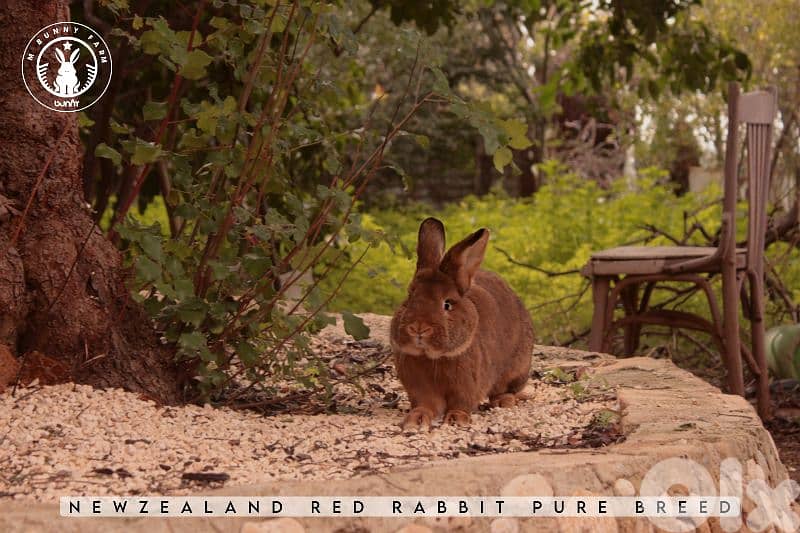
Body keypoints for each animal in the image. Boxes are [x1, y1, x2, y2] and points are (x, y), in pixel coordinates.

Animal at [390, 217, 534, 431]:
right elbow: (425, 405)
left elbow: (461, 403)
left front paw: (456, 419)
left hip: (517, 367)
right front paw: (416, 419)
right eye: (409, 297)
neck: (433, 357)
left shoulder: (466, 386)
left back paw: (504, 402)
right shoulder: (420, 388)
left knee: (504, 389)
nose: (418, 328)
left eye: (447, 304)